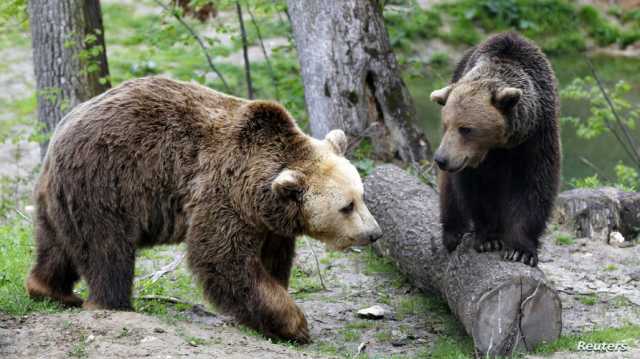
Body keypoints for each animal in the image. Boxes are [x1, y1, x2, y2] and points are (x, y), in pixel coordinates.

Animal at [27, 76, 382, 344]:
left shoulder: (268, 222)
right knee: (108, 249)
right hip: (106, 184)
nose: (374, 233)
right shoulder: (223, 194)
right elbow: (222, 258)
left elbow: (273, 261)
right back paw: (111, 304)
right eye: (346, 206)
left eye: (362, 196)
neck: (259, 191)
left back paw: (51, 291)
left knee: (57, 245)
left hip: (61, 197)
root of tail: (61, 131)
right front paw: (295, 324)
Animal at [430, 31, 560, 268]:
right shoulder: (472, 162)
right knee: (449, 194)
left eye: (466, 128)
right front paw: (488, 239)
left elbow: (534, 185)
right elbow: (476, 191)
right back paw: (452, 234)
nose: (441, 159)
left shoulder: (536, 135)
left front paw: (520, 250)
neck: (499, 146)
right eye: (446, 124)